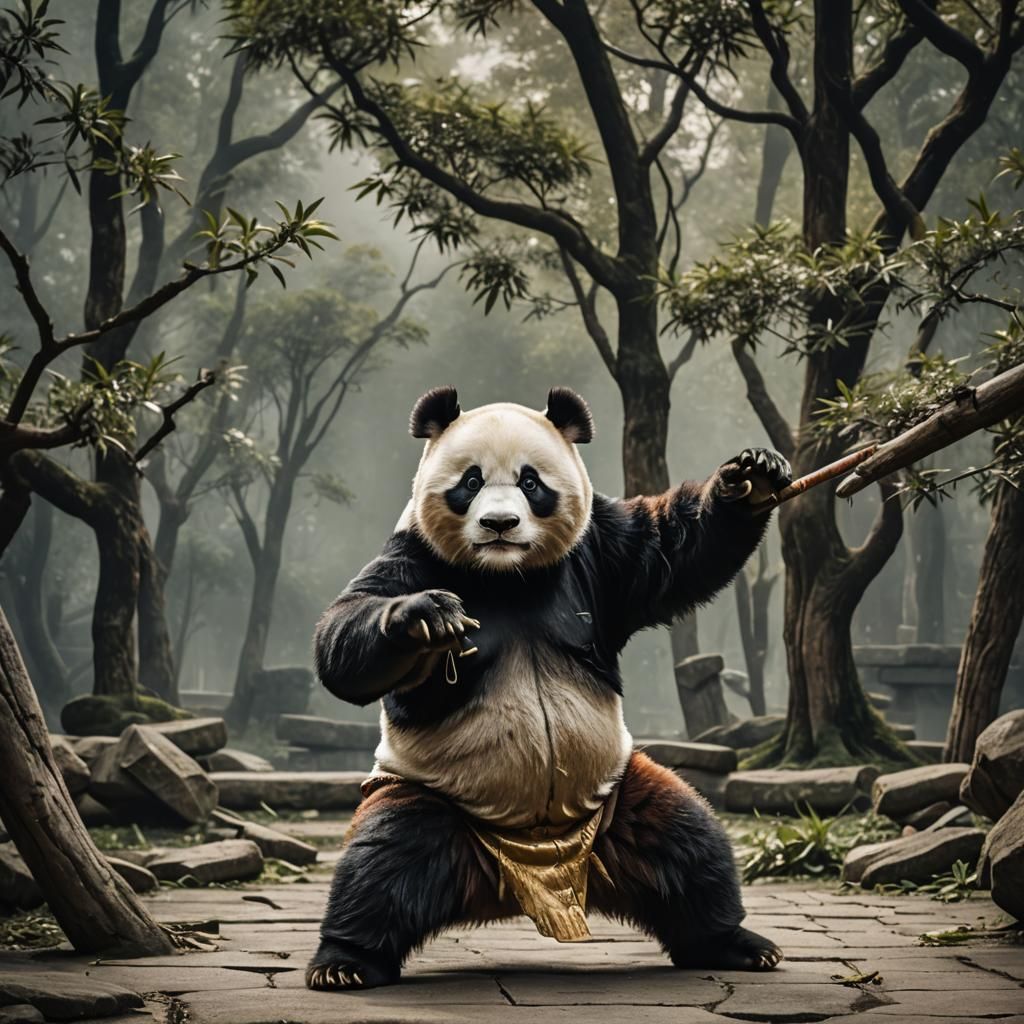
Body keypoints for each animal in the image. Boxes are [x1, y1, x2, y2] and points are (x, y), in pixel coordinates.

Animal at [308, 386, 791, 991]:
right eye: (470, 481)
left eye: (531, 482)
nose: (499, 524)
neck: (506, 574)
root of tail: (527, 868)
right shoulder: (413, 556)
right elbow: (346, 636)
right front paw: (424, 615)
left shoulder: (602, 555)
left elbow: (673, 557)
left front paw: (753, 476)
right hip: (429, 794)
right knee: (383, 861)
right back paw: (345, 961)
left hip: (617, 802)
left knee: (688, 846)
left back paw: (734, 943)